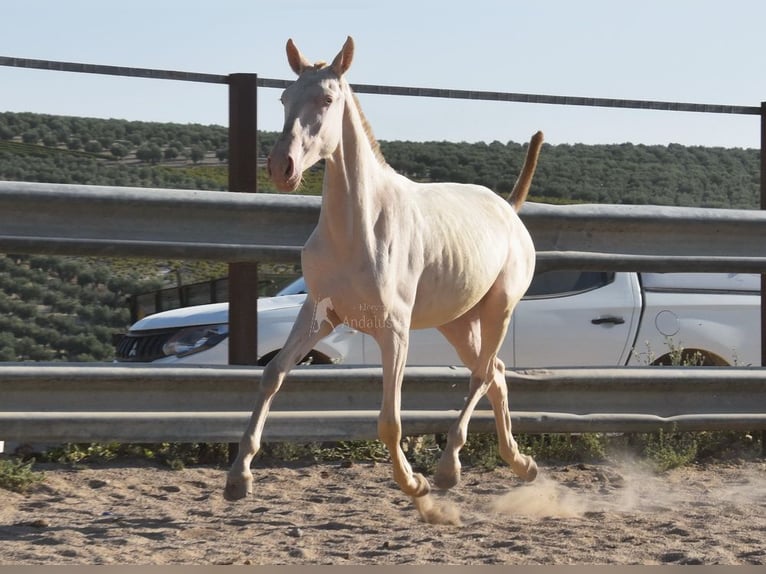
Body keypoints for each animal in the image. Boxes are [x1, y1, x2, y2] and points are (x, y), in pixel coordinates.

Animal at [228, 35, 544, 520]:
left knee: (482, 375)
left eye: (327, 99)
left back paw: (448, 470)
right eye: (283, 98)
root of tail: (509, 209)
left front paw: (416, 486)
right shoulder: (320, 314)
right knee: (497, 373)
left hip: (500, 309)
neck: (357, 229)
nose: (282, 167)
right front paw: (238, 478)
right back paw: (520, 464)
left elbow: (390, 421)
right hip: (457, 323)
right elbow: (273, 375)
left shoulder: (394, 330)